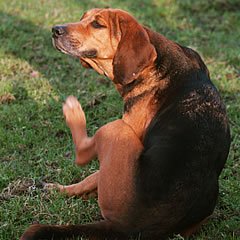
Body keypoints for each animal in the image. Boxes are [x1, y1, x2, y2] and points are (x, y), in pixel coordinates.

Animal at [20, 7, 231, 240]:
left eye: (97, 24)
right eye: (83, 17)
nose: (55, 30)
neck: (156, 62)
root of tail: (128, 227)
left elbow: (91, 174)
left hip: (115, 129)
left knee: (84, 154)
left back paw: (74, 115)